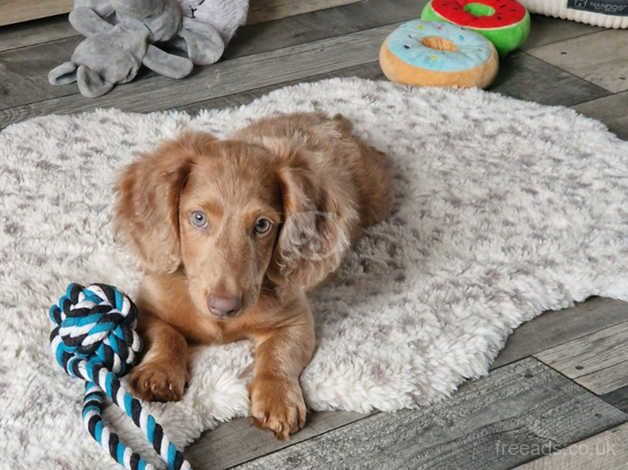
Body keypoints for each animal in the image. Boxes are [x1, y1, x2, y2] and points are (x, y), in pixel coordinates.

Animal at [111, 112, 388, 438]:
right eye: (198, 218)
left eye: (262, 225)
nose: (224, 306)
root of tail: (330, 119)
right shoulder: (147, 306)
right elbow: (167, 334)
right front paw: (159, 373)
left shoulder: (295, 320)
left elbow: (278, 353)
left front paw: (278, 397)